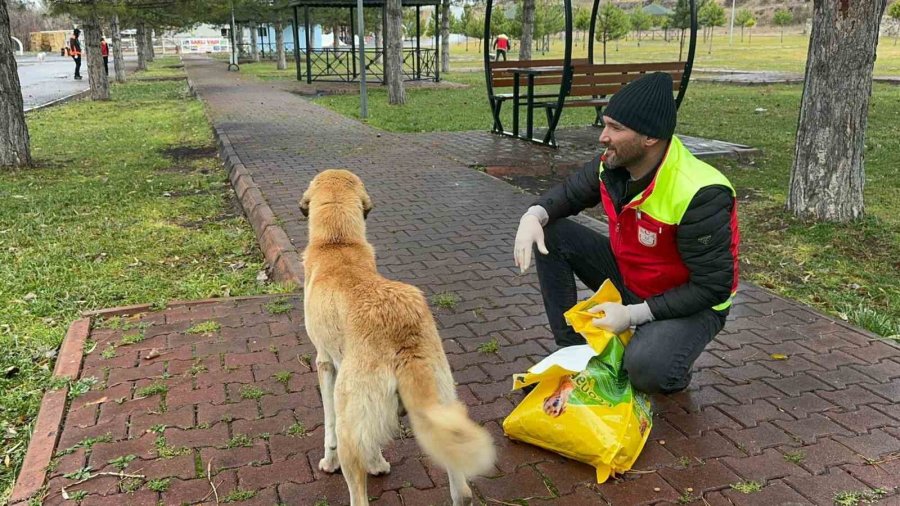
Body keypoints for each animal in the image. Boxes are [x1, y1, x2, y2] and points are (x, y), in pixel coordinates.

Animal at [298, 171, 496, 506]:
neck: (338, 242)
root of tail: (402, 335)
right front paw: (378, 464)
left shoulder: (324, 365)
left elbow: (329, 426)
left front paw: (330, 462)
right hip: (443, 411)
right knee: (463, 491)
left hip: (351, 419)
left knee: (358, 491)